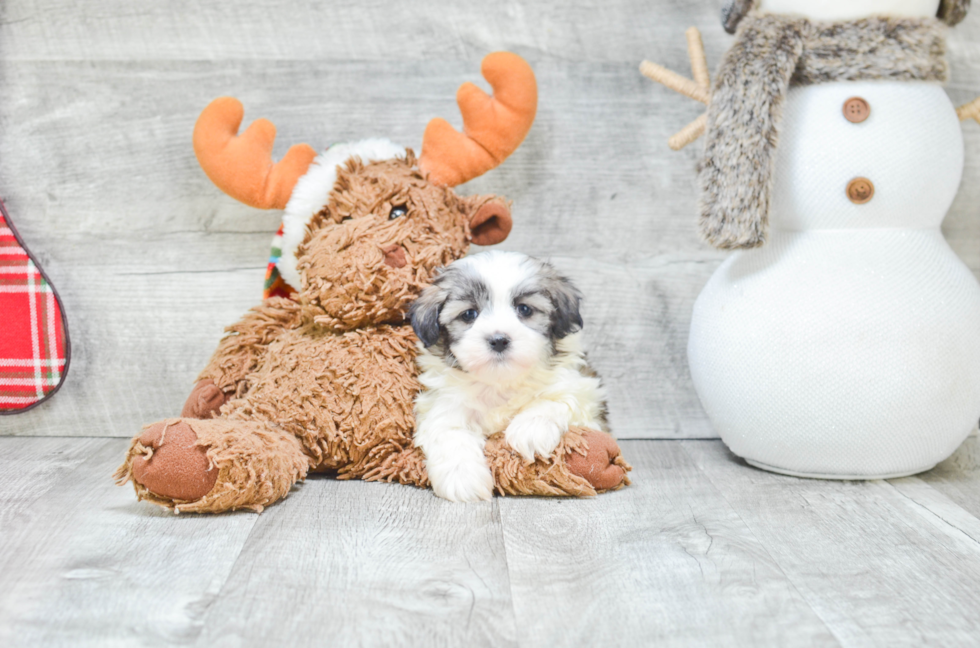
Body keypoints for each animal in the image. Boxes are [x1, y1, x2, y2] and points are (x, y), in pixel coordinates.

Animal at [410, 251, 608, 504]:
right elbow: (448, 433)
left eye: (524, 309)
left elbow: (557, 399)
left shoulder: (585, 391)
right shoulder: (442, 405)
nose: (499, 340)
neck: (500, 382)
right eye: (469, 314)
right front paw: (462, 477)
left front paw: (531, 429)